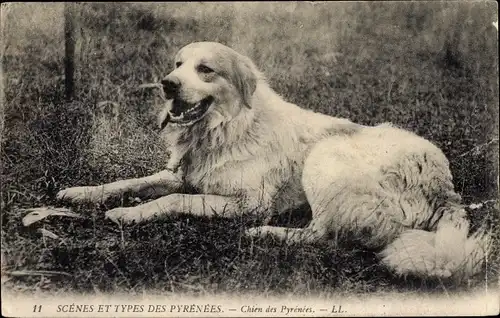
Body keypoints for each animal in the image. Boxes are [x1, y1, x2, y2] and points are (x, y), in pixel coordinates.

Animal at [57, 41, 488, 280]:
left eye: (205, 69)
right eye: (178, 64)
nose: (167, 84)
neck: (228, 127)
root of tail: (446, 188)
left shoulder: (248, 203)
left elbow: (172, 199)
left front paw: (129, 214)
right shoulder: (178, 174)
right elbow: (130, 183)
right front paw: (82, 193)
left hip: (325, 156)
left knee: (321, 235)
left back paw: (267, 234)